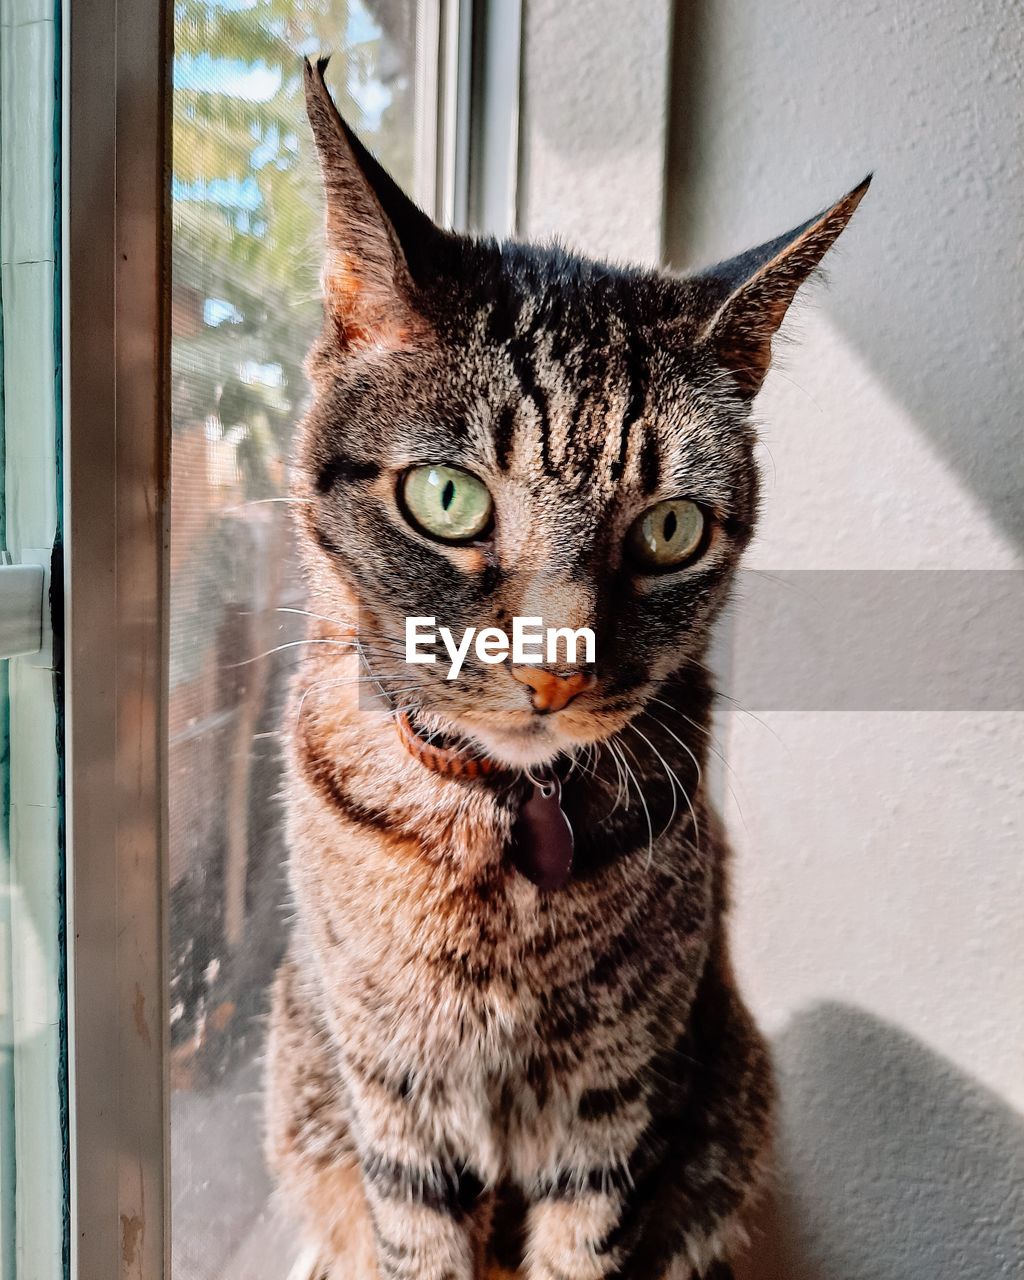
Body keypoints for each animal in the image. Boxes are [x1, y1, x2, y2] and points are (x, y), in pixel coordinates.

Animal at [266, 52, 870, 1280]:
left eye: (672, 529)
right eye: (447, 498)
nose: (554, 672)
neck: (493, 837)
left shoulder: (614, 1101)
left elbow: (584, 1249)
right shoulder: (393, 1092)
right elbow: (415, 1239)